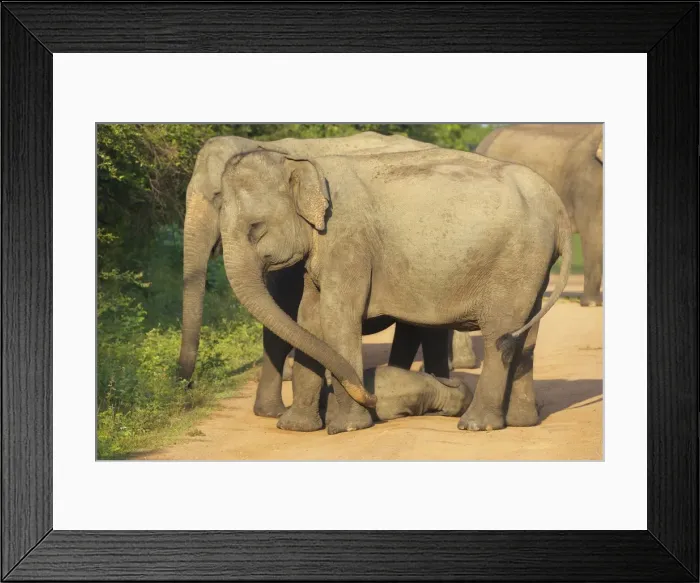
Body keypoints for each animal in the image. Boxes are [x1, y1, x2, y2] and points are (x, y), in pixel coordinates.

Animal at [177, 131, 476, 419]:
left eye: (217, 198)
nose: (186, 387)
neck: (266, 146)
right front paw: (270, 413)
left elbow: (284, 312)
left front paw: (274, 413)